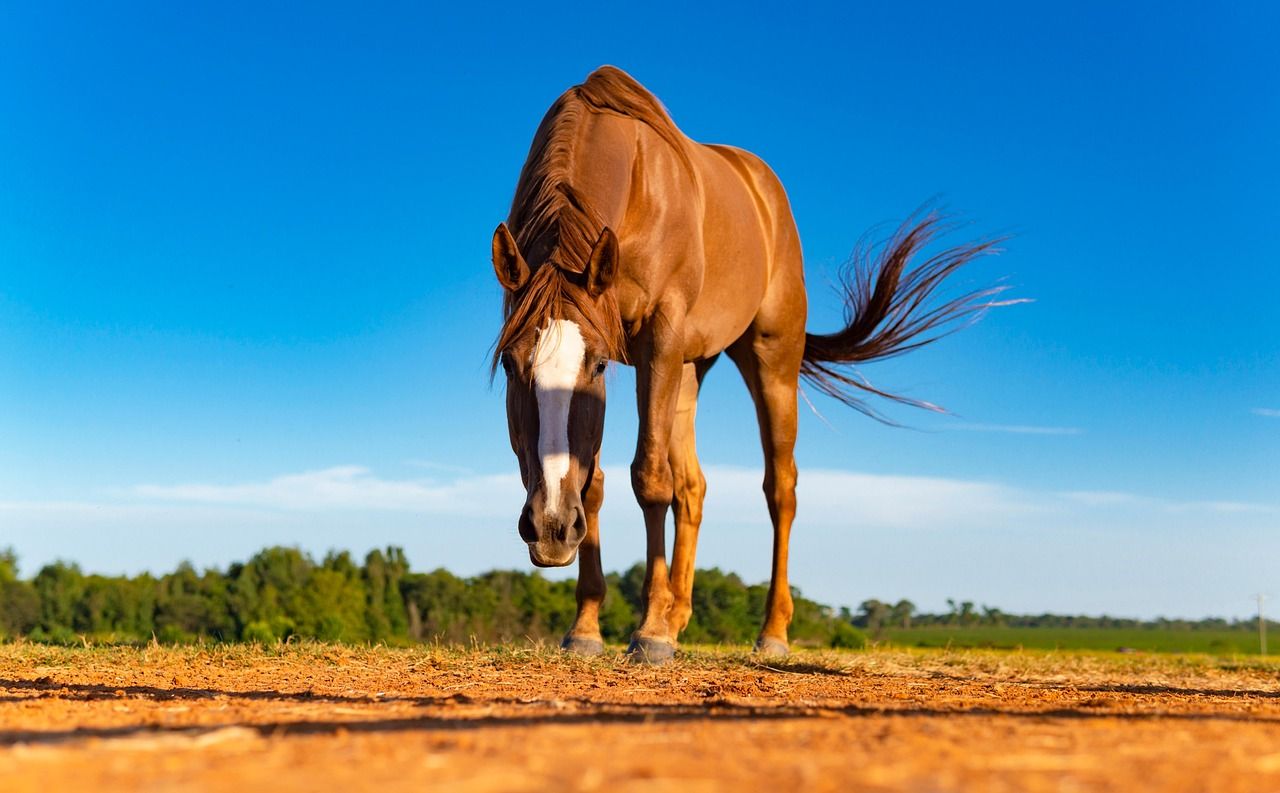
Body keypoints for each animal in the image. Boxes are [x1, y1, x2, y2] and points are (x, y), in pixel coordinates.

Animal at [490, 66, 1010, 662]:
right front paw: (588, 626)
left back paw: (770, 631)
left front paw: (648, 631)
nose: (551, 526)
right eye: (511, 365)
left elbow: (649, 478)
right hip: (689, 368)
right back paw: (678, 616)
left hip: (769, 359)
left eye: (597, 366)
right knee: (693, 487)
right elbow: (596, 482)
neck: (636, 183)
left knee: (779, 488)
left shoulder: (657, 338)